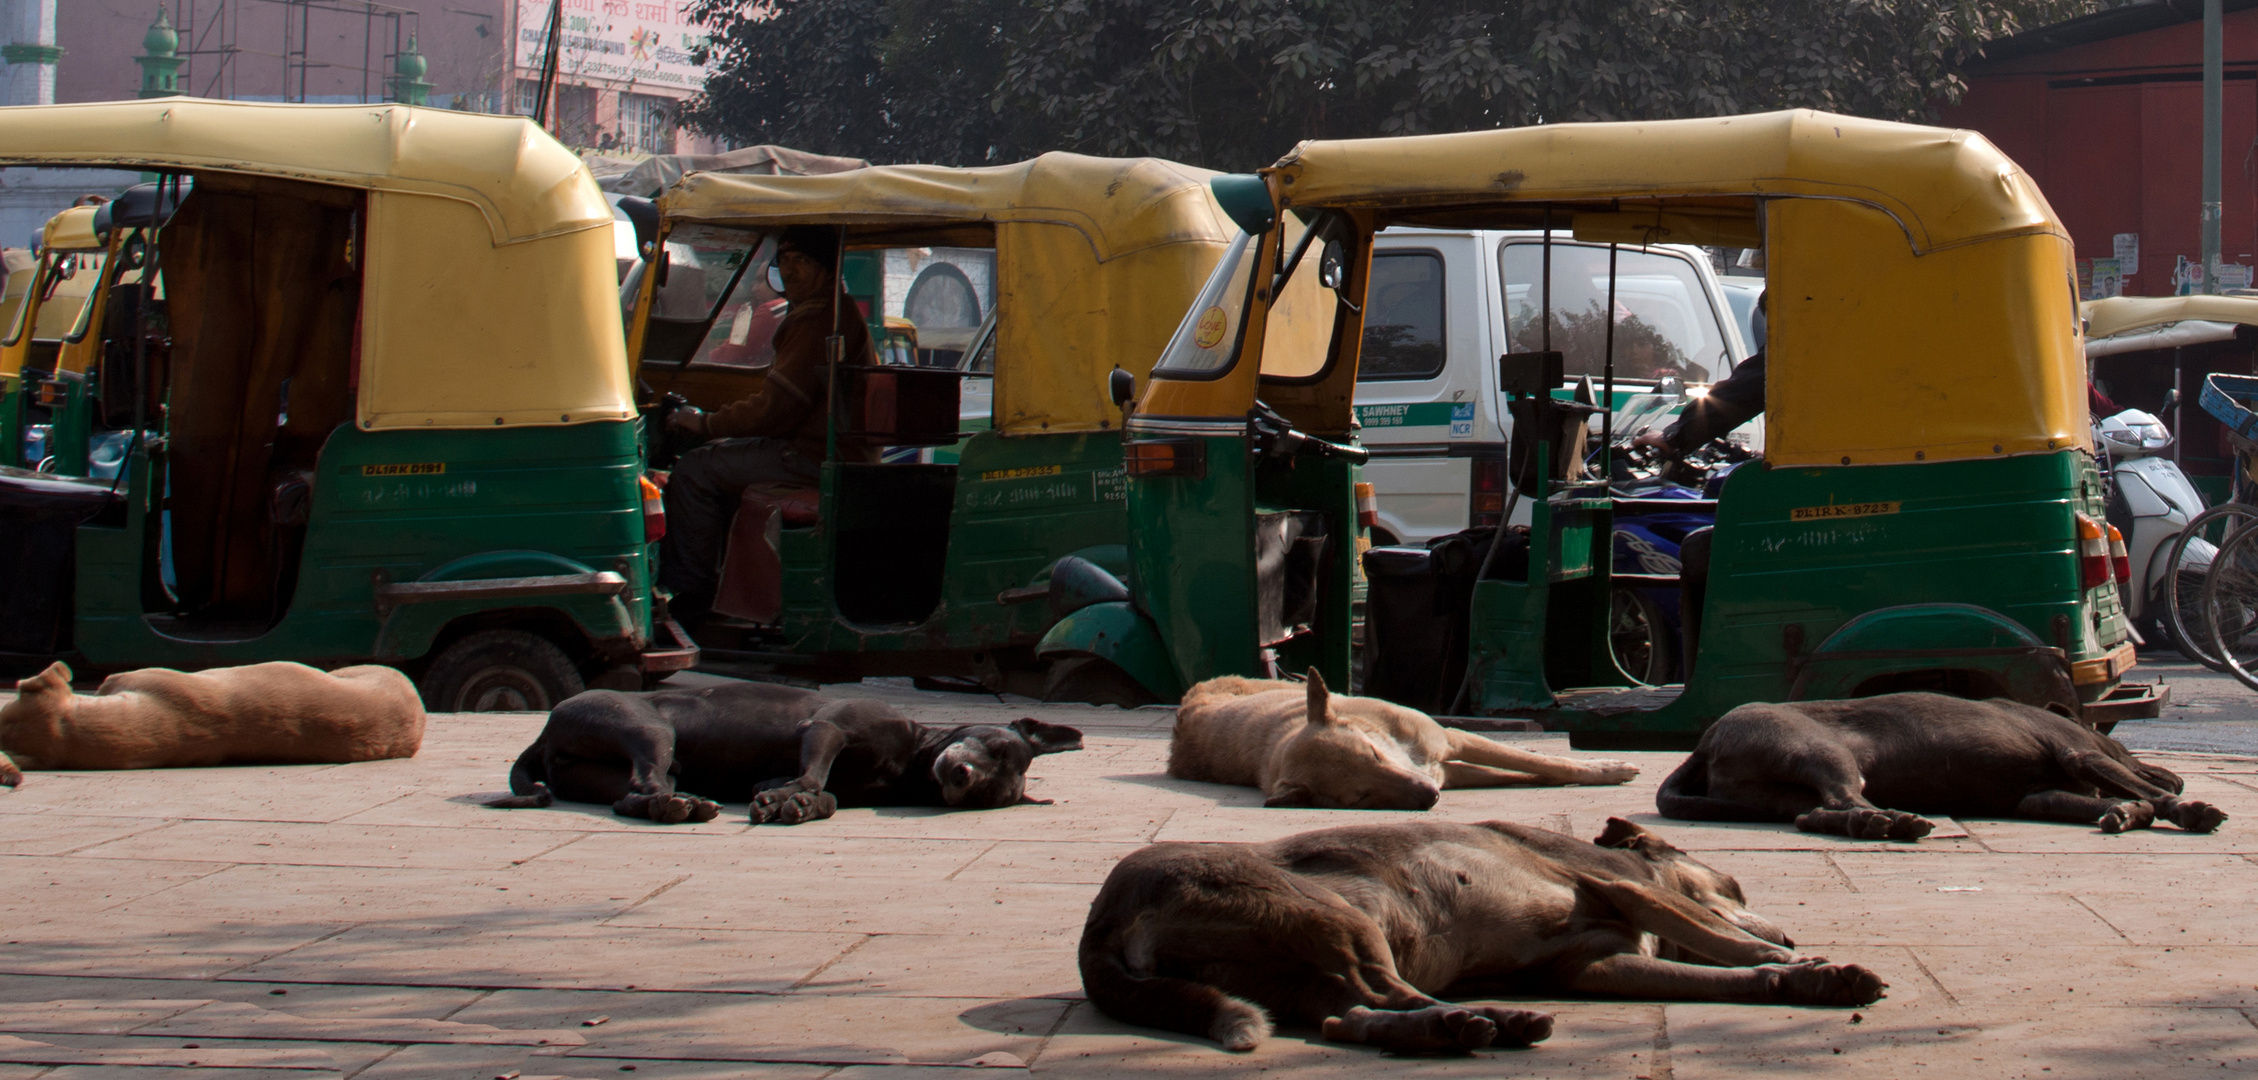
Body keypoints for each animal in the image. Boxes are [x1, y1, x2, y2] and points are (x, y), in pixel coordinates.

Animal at [1074, 817, 1869, 1052]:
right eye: (1735, 889)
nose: (1789, 933)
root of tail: (1100, 925)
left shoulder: (1596, 969)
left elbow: (1723, 972)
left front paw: (1797, 978)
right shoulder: (1628, 890)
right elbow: (1719, 940)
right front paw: (1793, 960)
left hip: (1295, 968)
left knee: (1348, 1016)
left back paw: (1466, 1026)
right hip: (1339, 921)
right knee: (1383, 997)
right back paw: (1475, 1021)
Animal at [1661, 691, 2221, 845]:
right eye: (2126, 745)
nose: (2177, 772)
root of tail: (1705, 742)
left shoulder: (2037, 796)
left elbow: (2104, 801)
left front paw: (2125, 813)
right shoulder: (2080, 754)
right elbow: (2144, 789)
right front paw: (2185, 805)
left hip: (1778, 795)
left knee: (1812, 815)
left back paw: (1877, 823)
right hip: (1821, 752)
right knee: (1843, 796)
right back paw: (1891, 821)